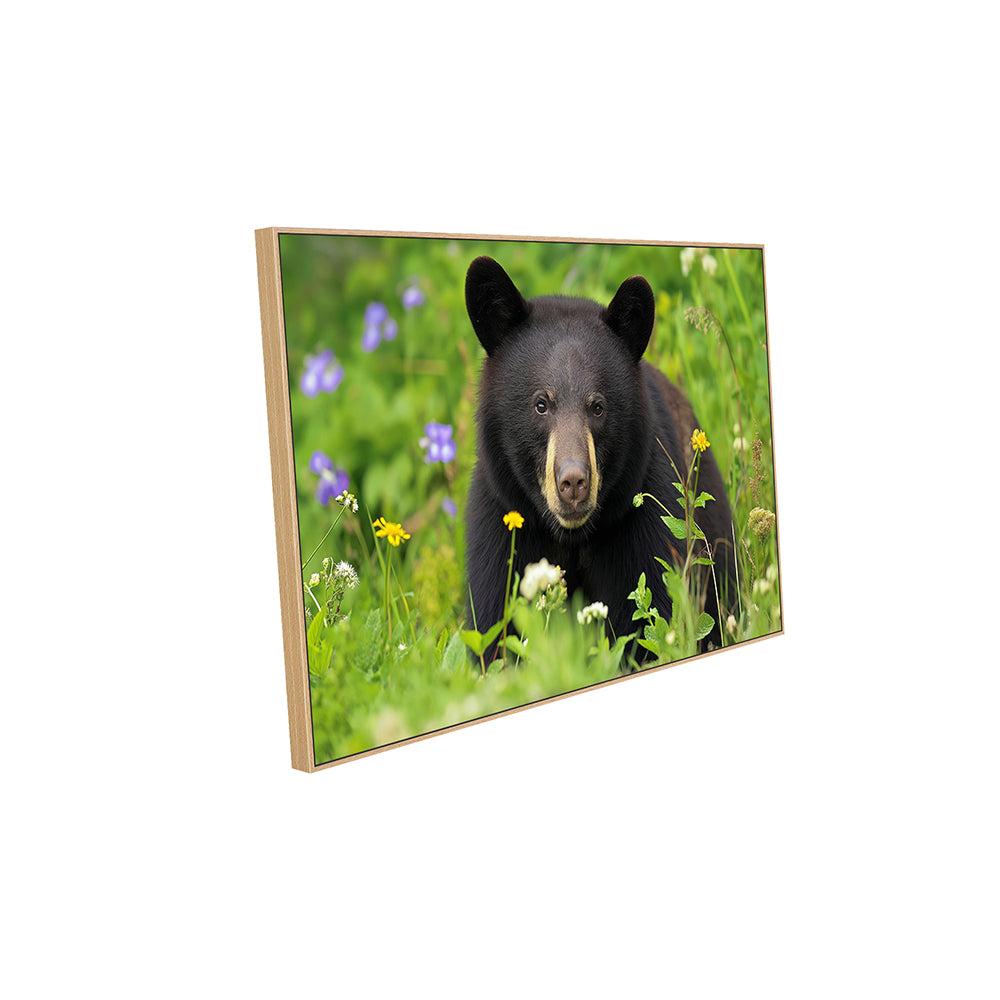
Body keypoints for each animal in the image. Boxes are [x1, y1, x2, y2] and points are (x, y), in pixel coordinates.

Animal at [464, 255, 736, 665]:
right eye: (541, 404)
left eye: (598, 407)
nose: (574, 482)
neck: (572, 539)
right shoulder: (502, 525)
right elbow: (493, 630)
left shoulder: (643, 524)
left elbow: (650, 619)